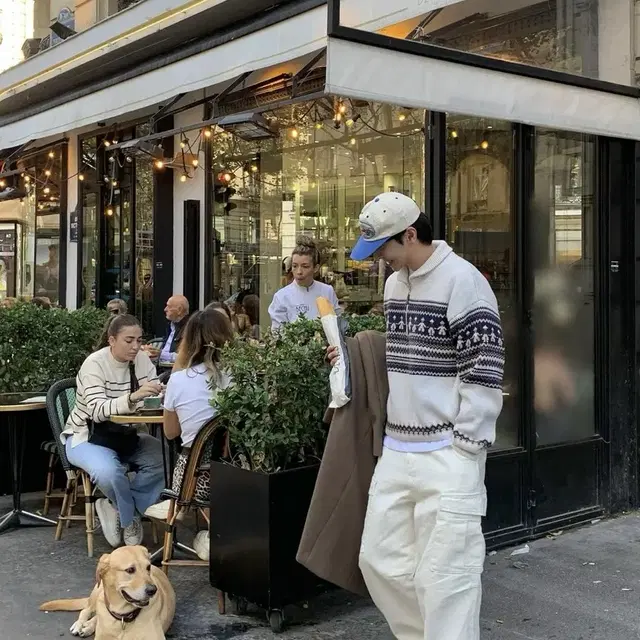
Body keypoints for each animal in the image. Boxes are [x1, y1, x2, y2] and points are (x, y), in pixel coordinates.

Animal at [40, 544, 175, 640]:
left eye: (148, 567)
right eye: (130, 570)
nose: (153, 590)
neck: (122, 618)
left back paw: (88, 627)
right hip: (98, 593)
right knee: (86, 610)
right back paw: (80, 625)